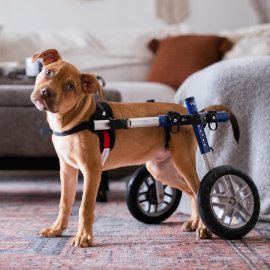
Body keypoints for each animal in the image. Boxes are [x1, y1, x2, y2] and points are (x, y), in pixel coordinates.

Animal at [30, 48, 239, 247]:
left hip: (183, 160)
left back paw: (205, 227)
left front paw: (84, 237)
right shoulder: (67, 170)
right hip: (159, 169)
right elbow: (64, 203)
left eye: (70, 86)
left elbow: (85, 206)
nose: (46, 92)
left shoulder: (92, 170)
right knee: (191, 192)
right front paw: (56, 229)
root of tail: (189, 113)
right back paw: (194, 223)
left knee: (199, 190)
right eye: (48, 72)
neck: (75, 120)